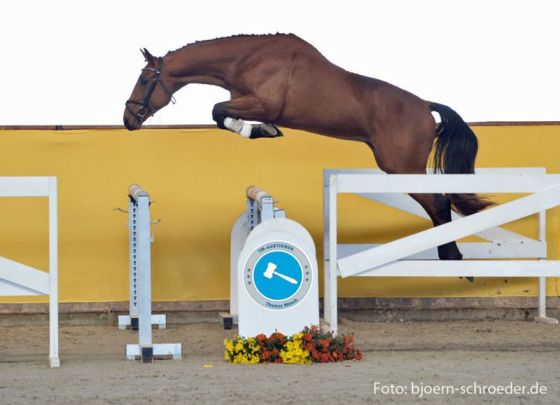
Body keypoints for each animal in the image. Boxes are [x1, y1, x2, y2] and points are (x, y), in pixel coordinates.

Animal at [123, 34, 492, 272]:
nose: (128, 119)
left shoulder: (262, 102)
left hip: (401, 166)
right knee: (438, 205)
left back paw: (454, 260)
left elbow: (217, 111)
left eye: (144, 80)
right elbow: (220, 114)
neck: (248, 59)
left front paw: (257, 130)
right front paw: (263, 130)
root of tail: (425, 106)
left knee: (439, 204)